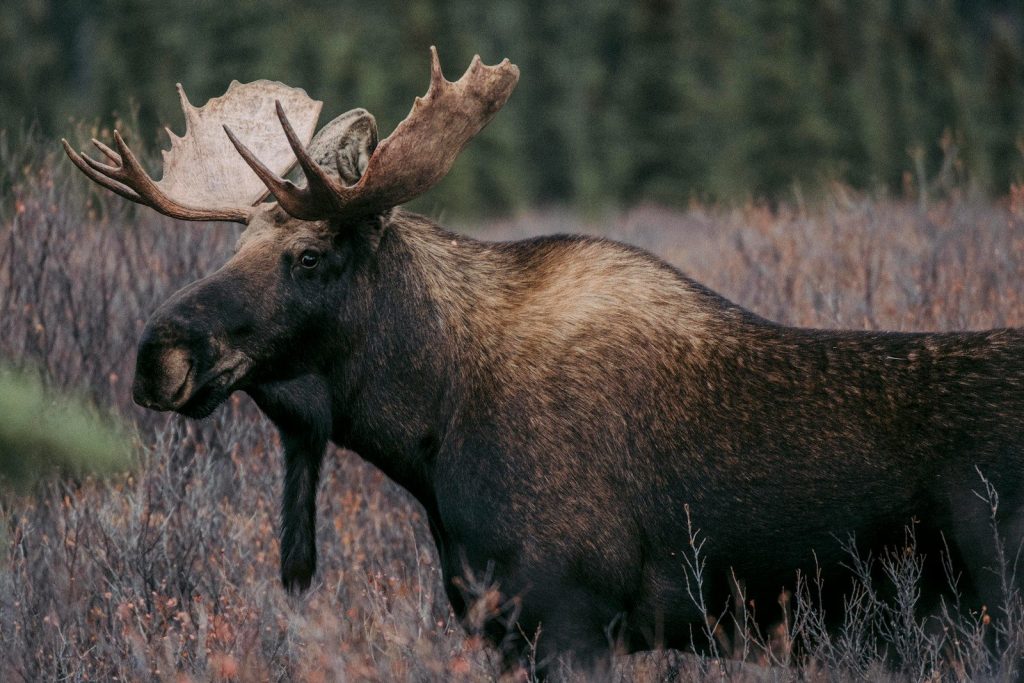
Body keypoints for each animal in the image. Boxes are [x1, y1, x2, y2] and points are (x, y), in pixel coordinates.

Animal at [64, 48, 1024, 675]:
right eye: (235, 247)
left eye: (308, 256)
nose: (156, 355)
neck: (430, 429)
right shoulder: (499, 624)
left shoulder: (571, 617)